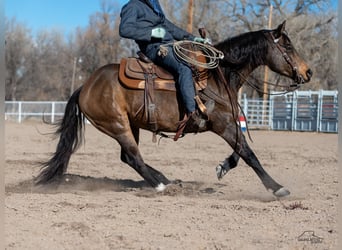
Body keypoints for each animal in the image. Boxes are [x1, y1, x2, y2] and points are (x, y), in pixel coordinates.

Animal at [35, 21, 312, 197]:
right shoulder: (222, 125)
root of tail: (85, 86)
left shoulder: (230, 124)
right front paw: (277, 188)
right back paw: (162, 186)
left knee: (128, 157)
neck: (219, 74)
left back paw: (166, 179)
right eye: (287, 46)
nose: (308, 72)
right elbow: (249, 154)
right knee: (133, 157)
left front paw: (222, 167)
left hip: (130, 125)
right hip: (117, 125)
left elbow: (239, 151)